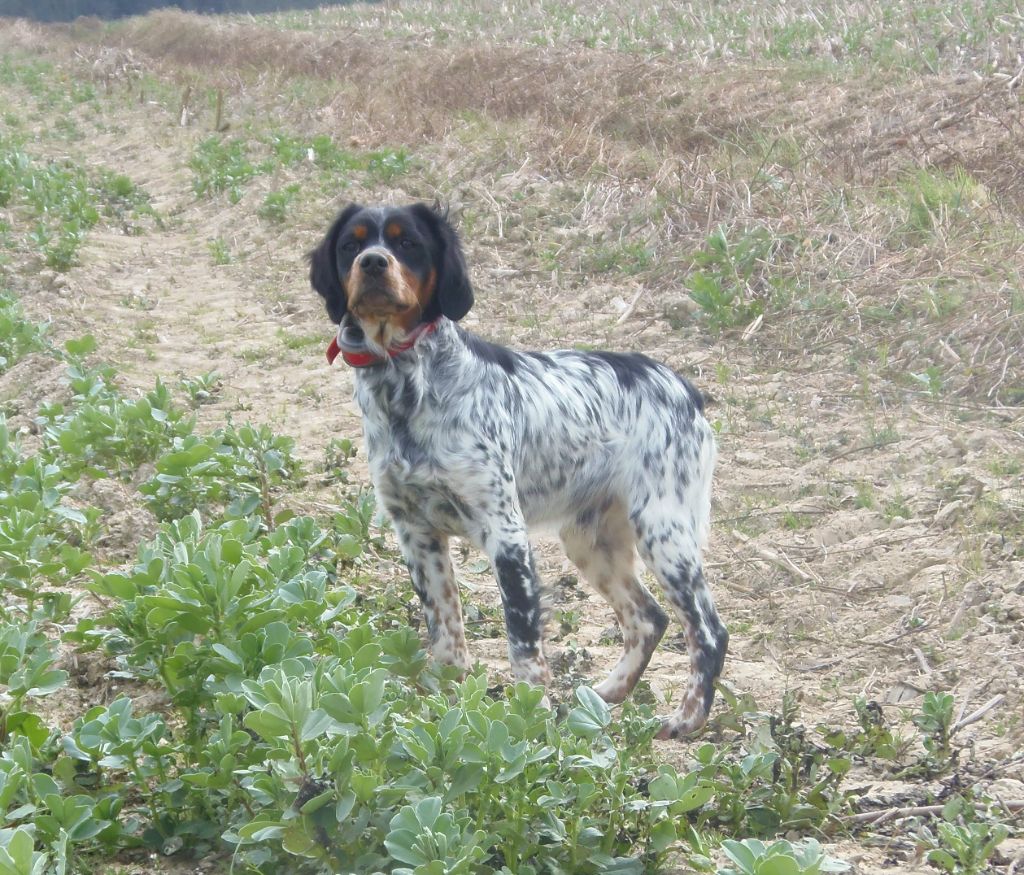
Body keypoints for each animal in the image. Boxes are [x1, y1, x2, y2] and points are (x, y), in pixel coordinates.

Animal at [309, 200, 729, 741]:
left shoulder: (506, 533)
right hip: (590, 539)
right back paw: (604, 696)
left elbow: (524, 646)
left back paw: (686, 718)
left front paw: (528, 720)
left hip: (664, 532)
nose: (374, 264)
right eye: (351, 245)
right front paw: (445, 713)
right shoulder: (417, 534)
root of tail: (685, 389)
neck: (405, 387)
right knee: (648, 619)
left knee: (708, 630)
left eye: (408, 243)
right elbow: (446, 636)